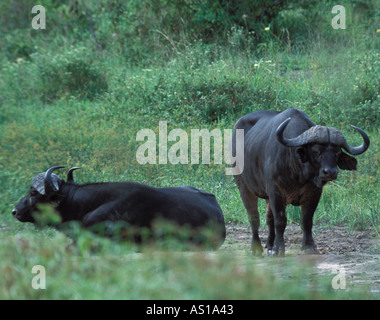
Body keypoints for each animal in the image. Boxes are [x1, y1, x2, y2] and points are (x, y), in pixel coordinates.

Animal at [230, 109, 370, 256]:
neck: (298, 172)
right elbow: (280, 220)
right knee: (254, 217)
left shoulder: (314, 193)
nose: (330, 172)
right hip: (243, 187)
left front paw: (309, 246)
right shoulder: (275, 191)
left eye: (337, 153)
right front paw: (279, 249)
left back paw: (270, 245)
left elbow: (306, 219)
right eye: (315, 151)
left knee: (269, 218)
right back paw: (256, 248)